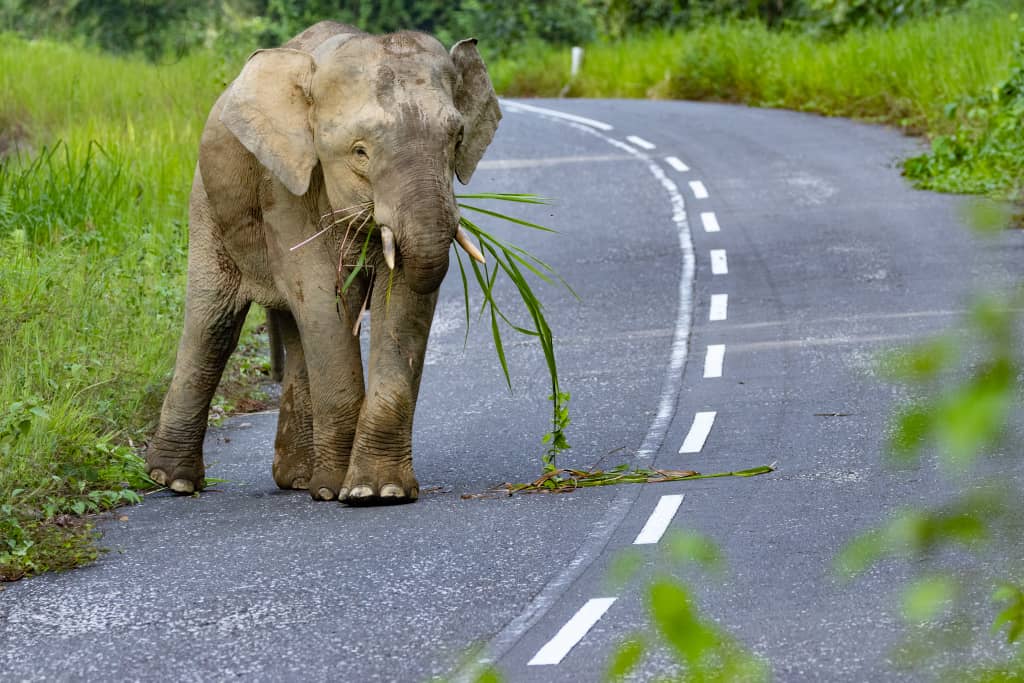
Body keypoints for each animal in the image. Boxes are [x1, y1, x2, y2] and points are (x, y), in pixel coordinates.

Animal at [145, 21, 501, 505]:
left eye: (457, 140)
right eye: (359, 152)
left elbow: (400, 298)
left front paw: (379, 492)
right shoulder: (282, 186)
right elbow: (320, 296)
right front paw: (343, 490)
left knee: (296, 329)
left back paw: (297, 479)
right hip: (206, 204)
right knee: (215, 324)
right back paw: (175, 482)